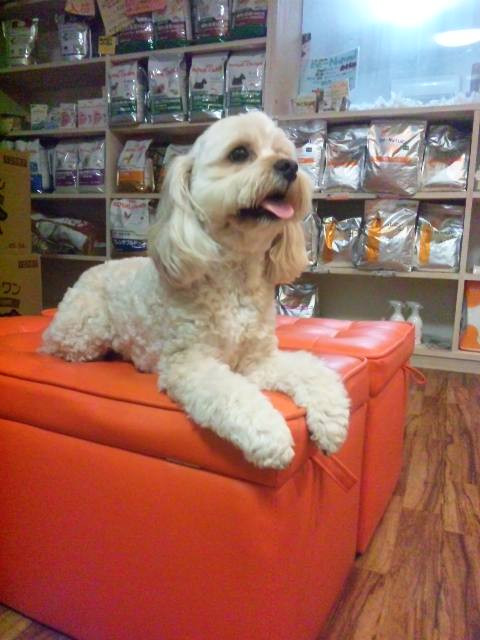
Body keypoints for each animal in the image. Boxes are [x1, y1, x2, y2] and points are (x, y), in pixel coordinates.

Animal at [41, 112, 349, 469]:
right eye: (239, 153)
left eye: (284, 152)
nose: (290, 167)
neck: (234, 281)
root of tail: (90, 270)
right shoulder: (189, 363)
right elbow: (233, 393)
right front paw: (270, 435)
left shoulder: (259, 360)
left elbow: (311, 370)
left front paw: (331, 419)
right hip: (85, 330)